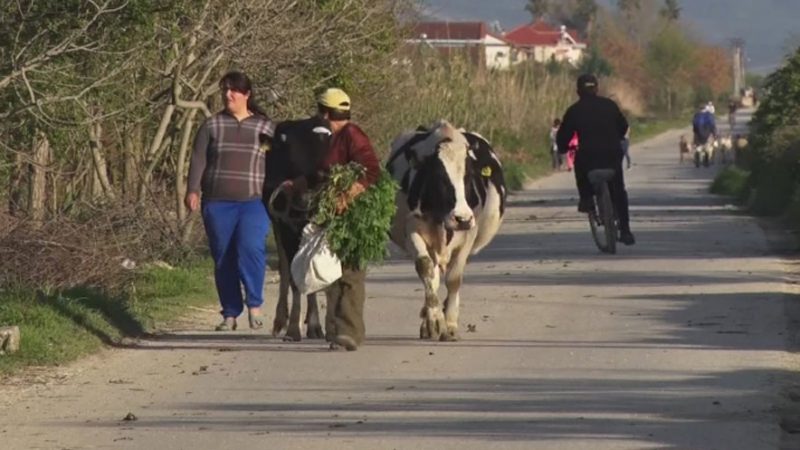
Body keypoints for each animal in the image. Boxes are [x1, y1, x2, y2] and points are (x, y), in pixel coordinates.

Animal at [264, 115, 332, 342]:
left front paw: (318, 325)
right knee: (285, 268)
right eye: (289, 157)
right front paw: (293, 328)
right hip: (277, 226)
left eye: (324, 154)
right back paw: (281, 320)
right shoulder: (286, 227)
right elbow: (295, 278)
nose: (304, 198)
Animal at [388, 119, 506, 342]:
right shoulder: (412, 229)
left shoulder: (469, 233)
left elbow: (454, 278)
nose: (462, 218)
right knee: (433, 277)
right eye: (438, 178)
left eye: (470, 177)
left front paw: (449, 323)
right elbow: (426, 270)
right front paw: (434, 321)